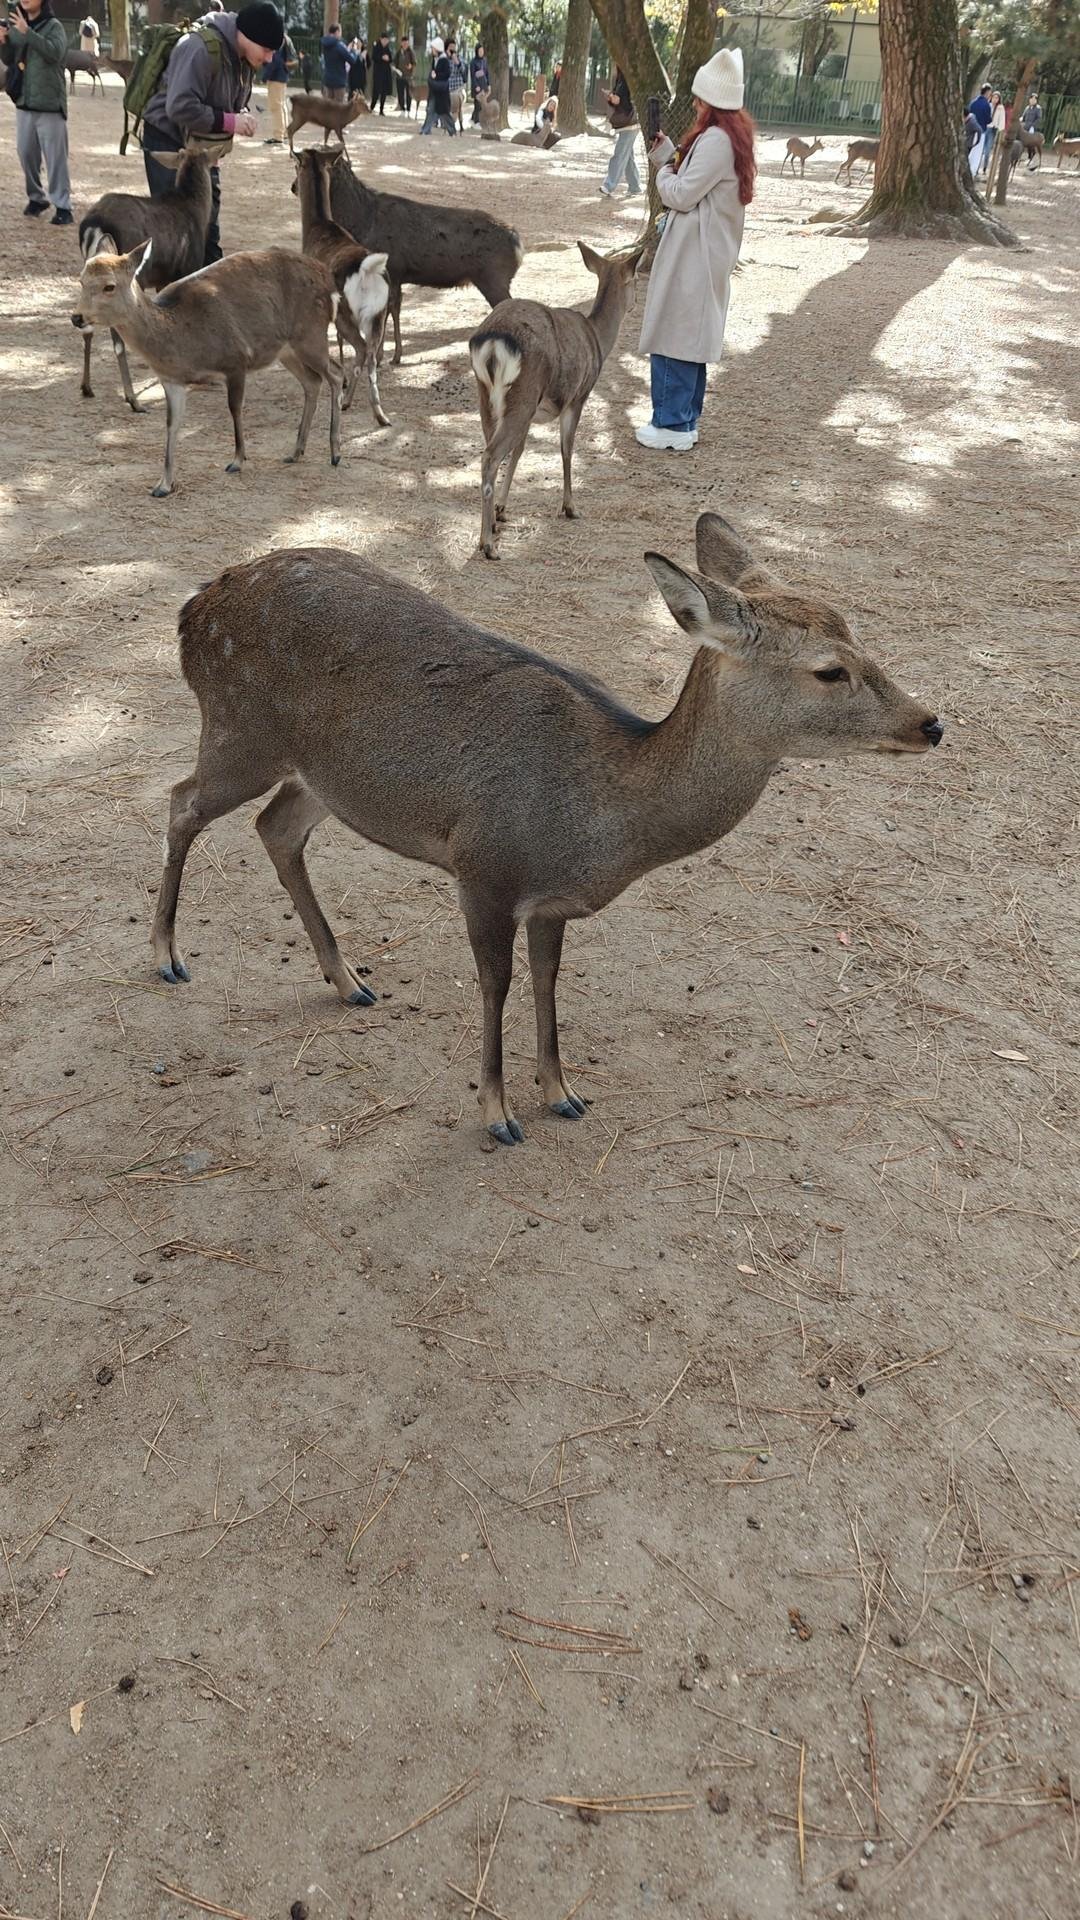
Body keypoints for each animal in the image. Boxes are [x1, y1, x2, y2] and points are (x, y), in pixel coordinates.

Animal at [71, 244, 342, 497]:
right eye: (81, 281)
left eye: (109, 286)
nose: (77, 317)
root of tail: (328, 280)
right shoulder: (172, 380)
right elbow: (172, 424)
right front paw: (163, 485)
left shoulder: (236, 360)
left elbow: (234, 408)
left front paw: (237, 460)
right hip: (286, 350)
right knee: (313, 381)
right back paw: (296, 452)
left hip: (311, 334)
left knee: (337, 374)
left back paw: (335, 452)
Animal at [78, 142, 227, 414]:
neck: (195, 211)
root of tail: (93, 224)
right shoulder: (186, 267)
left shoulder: (161, 279)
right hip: (124, 272)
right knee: (116, 336)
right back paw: (133, 399)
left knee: (87, 323)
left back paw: (87, 387)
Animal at [150, 513, 944, 1145]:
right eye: (830, 670)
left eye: (860, 636)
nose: (931, 723)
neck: (596, 822)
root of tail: (195, 605)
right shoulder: (484, 870)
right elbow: (495, 984)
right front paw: (497, 1114)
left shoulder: (550, 902)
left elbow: (548, 979)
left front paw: (562, 1093)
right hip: (239, 731)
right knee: (181, 801)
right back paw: (167, 956)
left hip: (324, 777)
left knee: (276, 828)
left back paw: (350, 981)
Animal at [291, 148, 391, 425]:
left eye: (294, 166)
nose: (293, 188)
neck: (316, 228)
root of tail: (367, 270)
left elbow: (333, 339)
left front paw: (341, 380)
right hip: (379, 315)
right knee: (371, 356)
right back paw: (379, 414)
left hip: (346, 312)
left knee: (360, 348)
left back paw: (347, 401)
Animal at [469, 242, 642, 560]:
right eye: (635, 279)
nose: (635, 304)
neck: (598, 339)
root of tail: (493, 342)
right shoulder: (578, 396)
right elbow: (566, 449)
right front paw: (570, 507)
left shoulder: (532, 413)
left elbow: (520, 451)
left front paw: (501, 509)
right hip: (524, 393)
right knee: (490, 456)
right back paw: (488, 545)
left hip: (489, 397)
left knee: (492, 450)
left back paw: (489, 529)